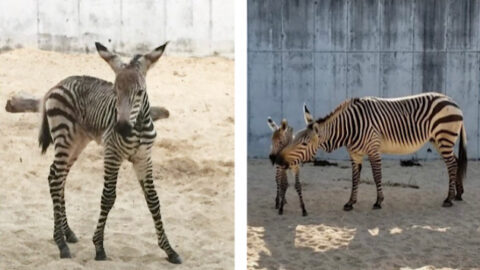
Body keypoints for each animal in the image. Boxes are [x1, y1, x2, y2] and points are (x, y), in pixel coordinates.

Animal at [38, 42, 182, 264]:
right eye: (115, 91)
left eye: (140, 92)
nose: (121, 128)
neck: (137, 127)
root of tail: (58, 84)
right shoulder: (112, 154)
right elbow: (108, 197)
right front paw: (99, 247)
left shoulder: (144, 158)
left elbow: (153, 200)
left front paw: (169, 250)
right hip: (64, 137)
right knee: (55, 179)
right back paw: (61, 243)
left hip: (77, 143)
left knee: (57, 176)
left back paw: (67, 233)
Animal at [276, 93, 466, 211]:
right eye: (294, 138)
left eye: (304, 144)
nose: (278, 160)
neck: (349, 128)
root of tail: (453, 101)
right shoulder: (355, 154)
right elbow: (354, 178)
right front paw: (350, 203)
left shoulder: (373, 149)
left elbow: (376, 175)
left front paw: (378, 201)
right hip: (438, 140)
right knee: (456, 161)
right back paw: (458, 194)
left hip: (444, 137)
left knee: (451, 164)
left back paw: (449, 198)